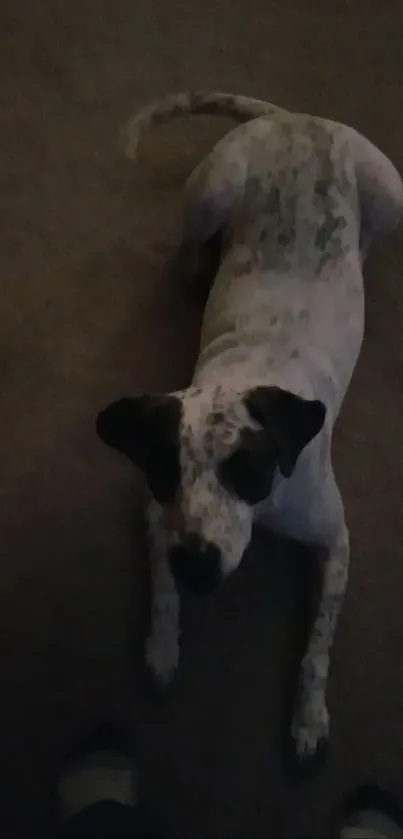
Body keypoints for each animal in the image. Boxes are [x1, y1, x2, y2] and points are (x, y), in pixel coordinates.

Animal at [95, 95, 403, 764]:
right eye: (164, 470)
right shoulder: (157, 517)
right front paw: (162, 647)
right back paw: (195, 268)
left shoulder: (336, 541)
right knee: (192, 237)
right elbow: (161, 590)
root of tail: (294, 118)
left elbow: (319, 643)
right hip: (211, 192)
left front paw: (309, 717)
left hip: (393, 192)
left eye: (247, 468)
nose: (197, 565)